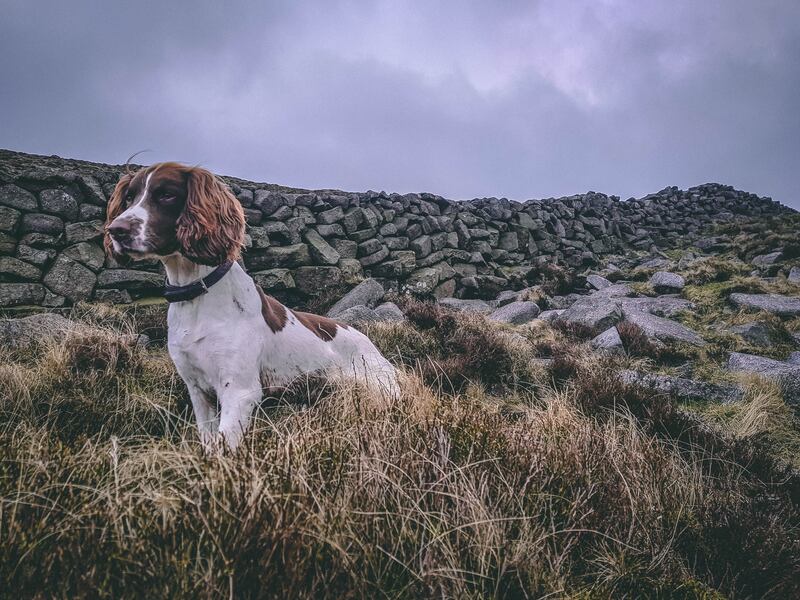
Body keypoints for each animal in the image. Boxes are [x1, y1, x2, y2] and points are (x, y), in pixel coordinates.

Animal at [104, 164, 398, 450]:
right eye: (129, 197)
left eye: (166, 194)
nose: (116, 230)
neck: (198, 293)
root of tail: (364, 337)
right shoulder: (198, 392)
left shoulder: (239, 391)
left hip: (381, 389)